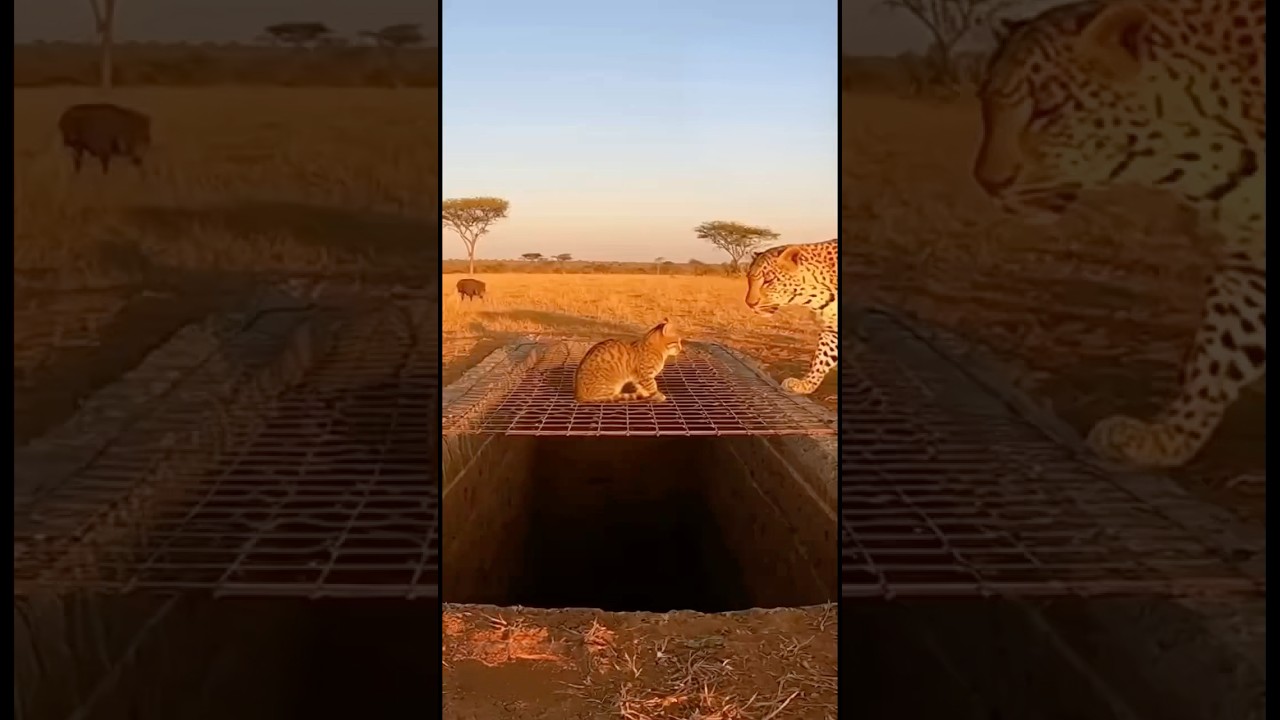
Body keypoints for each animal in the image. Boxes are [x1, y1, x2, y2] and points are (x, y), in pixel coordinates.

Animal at [744, 238, 839, 395]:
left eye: (768, 280)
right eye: (748, 279)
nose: (750, 303)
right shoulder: (831, 330)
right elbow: (821, 358)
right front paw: (806, 384)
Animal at [972, 0, 1265, 469]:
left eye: (1047, 109)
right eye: (984, 104)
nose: (989, 182)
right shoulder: (1248, 264)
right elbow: (1218, 352)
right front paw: (1166, 438)